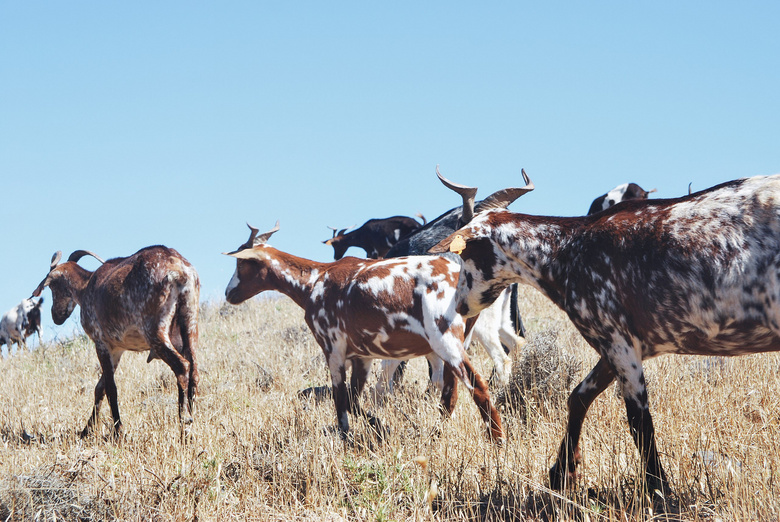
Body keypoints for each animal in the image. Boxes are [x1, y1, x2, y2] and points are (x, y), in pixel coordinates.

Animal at [32, 246, 200, 436]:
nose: (56, 316)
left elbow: (111, 387)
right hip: (190, 321)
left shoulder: (101, 343)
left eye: (53, 287)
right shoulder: (117, 349)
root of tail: (179, 270)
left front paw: (118, 430)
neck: (86, 287)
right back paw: (192, 422)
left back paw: (184, 424)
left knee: (182, 366)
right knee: (194, 370)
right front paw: (86, 430)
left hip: (155, 330)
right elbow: (100, 387)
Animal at [225, 219, 506, 438]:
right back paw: (436, 434)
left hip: (446, 342)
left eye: (241, 263)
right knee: (450, 394)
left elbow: (341, 402)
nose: (229, 293)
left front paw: (347, 436)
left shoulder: (333, 350)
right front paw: (380, 425)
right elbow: (354, 399)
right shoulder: (363, 356)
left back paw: (497, 441)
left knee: (477, 386)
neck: (315, 281)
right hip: (458, 342)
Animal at [430, 171, 780, 496]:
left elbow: (639, 421)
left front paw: (658, 488)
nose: (460, 305)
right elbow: (578, 397)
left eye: (465, 254)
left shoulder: (617, 341)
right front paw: (562, 472)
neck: (567, 249)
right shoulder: (619, 347)